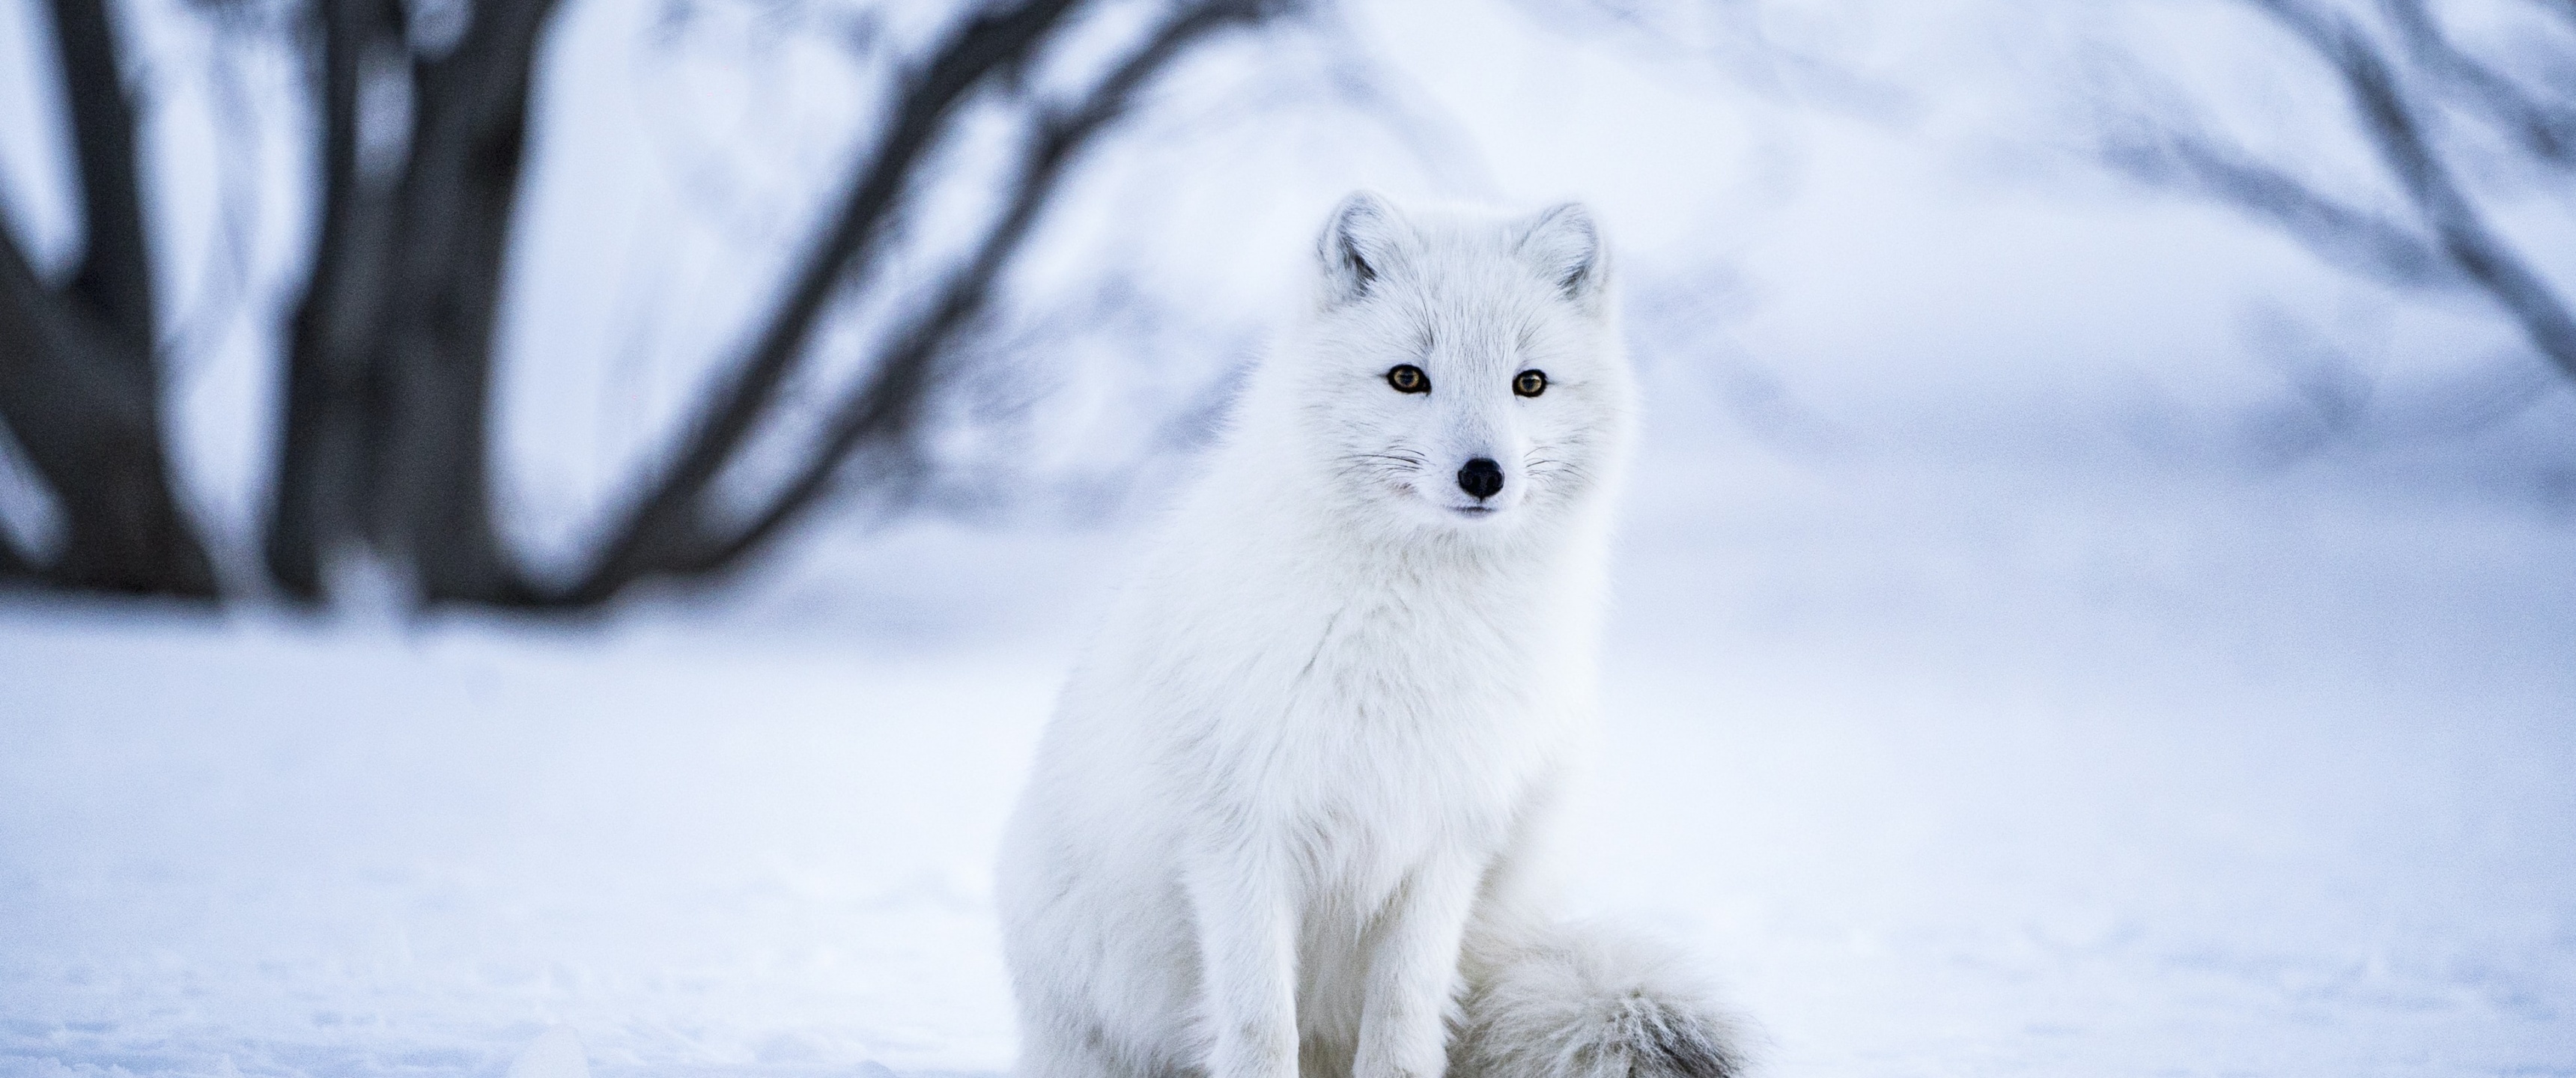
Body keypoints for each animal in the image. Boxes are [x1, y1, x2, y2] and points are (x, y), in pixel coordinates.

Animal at [994, 190, 1741, 1078]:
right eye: (1408, 378)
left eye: (1528, 383)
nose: (1484, 475)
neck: (1415, 625)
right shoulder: (1240, 837)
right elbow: (1258, 1027)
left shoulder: (1448, 839)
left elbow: (1404, 1013)